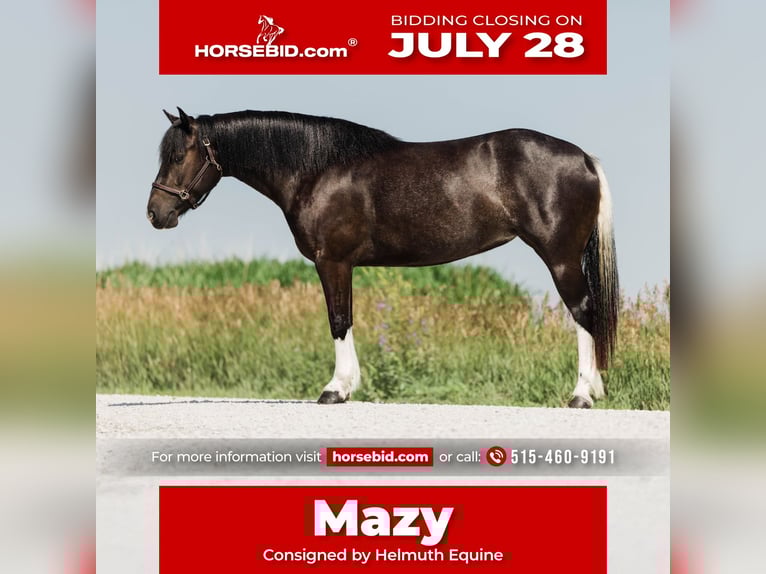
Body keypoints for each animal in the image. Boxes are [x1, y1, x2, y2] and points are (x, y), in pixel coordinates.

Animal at [147, 108, 619, 408]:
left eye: (177, 156)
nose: (156, 213)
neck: (317, 170)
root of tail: (584, 159)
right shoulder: (344, 266)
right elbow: (348, 319)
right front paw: (349, 385)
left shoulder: (332, 262)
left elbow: (339, 320)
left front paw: (335, 389)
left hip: (560, 258)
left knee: (583, 313)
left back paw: (581, 395)